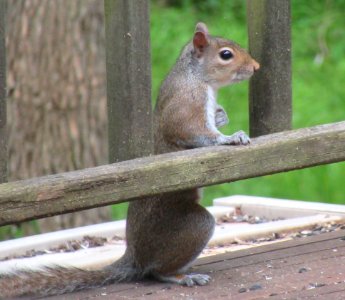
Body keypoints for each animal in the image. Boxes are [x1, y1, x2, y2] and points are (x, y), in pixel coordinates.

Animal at [0, 21, 258, 298]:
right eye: (226, 55)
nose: (256, 67)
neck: (195, 76)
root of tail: (134, 256)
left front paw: (222, 116)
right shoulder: (186, 105)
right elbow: (193, 132)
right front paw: (230, 138)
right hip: (192, 226)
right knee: (156, 270)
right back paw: (181, 276)